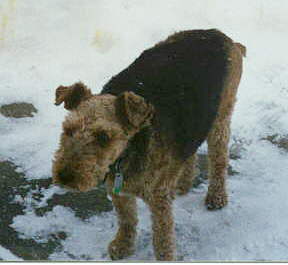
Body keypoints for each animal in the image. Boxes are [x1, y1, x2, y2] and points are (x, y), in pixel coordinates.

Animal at [52, 28, 245, 260]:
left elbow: (162, 238)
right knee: (189, 153)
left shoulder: (157, 198)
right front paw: (122, 247)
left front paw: (164, 257)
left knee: (219, 161)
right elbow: (127, 220)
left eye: (104, 136)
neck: (126, 152)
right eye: (68, 130)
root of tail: (222, 36)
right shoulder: (119, 191)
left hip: (220, 119)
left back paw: (216, 197)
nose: (65, 176)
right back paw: (182, 184)